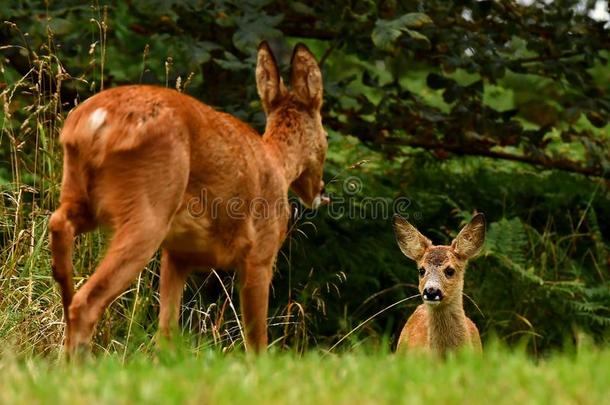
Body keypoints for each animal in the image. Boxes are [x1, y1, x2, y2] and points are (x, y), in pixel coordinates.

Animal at [48, 41, 328, 354]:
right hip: (149, 206)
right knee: (87, 302)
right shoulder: (260, 254)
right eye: (326, 134)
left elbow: (166, 332)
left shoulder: (177, 254)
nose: (321, 190)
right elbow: (257, 341)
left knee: (58, 224)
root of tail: (94, 122)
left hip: (81, 193)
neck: (279, 163)